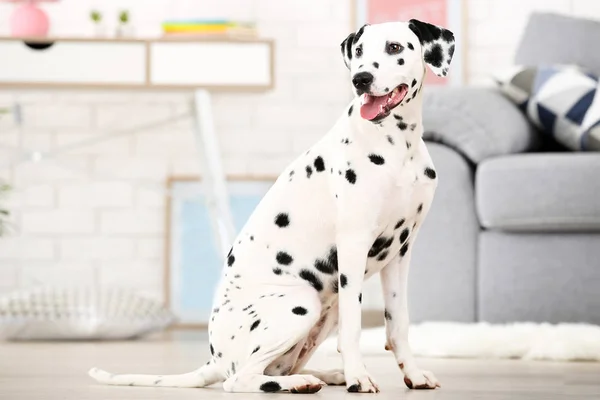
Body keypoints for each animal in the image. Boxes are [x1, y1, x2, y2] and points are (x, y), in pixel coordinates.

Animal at [89, 18, 454, 394]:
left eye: (395, 47)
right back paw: (303, 381)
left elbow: (398, 324)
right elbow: (354, 329)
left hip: (325, 310)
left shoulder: (400, 253)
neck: (399, 145)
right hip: (302, 302)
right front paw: (358, 377)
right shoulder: (354, 245)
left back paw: (323, 375)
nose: (361, 79)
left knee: (272, 369)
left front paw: (412, 374)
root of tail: (214, 358)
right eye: (359, 51)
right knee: (241, 379)